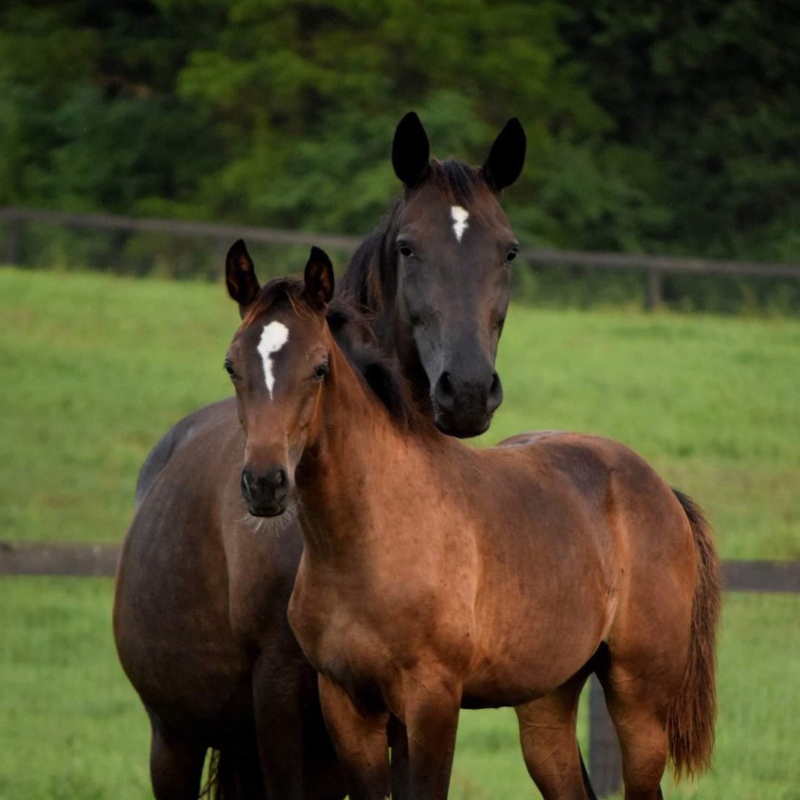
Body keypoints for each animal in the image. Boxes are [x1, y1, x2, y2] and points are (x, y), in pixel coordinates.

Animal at [111, 112, 524, 800]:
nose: (466, 390)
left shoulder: (402, 701)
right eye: (408, 246)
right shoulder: (280, 687)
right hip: (175, 739)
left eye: (508, 250)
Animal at [223, 247, 720, 796]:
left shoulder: (433, 700)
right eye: (231, 366)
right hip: (546, 702)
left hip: (639, 701)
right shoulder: (347, 705)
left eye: (319, 368)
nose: (265, 483)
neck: (370, 538)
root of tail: (663, 492)